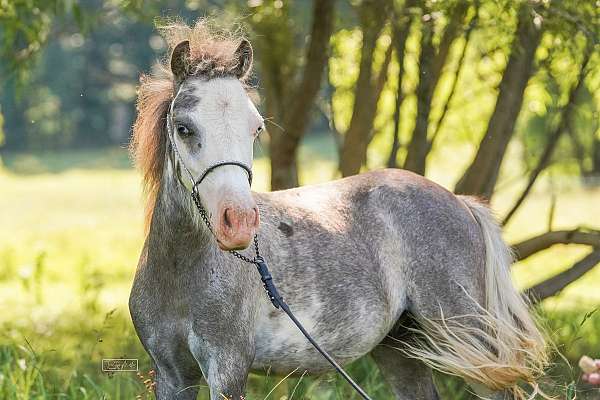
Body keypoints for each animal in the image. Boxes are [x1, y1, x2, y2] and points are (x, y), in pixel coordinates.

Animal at [130, 21, 548, 400]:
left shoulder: (227, 371)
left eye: (256, 128)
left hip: (470, 340)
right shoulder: (172, 375)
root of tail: (462, 203)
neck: (180, 272)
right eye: (184, 128)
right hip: (400, 349)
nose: (240, 223)